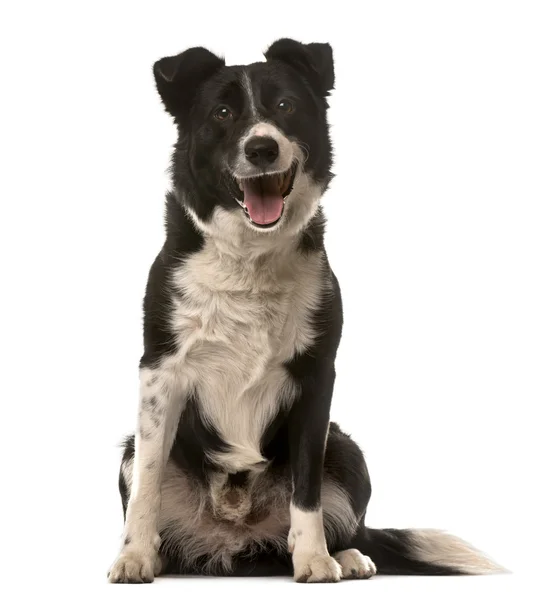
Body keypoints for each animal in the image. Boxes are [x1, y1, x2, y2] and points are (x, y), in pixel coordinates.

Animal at [106, 37, 502, 580]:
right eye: (223, 113)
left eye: (284, 106)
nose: (261, 148)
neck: (250, 257)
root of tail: (234, 536)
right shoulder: (160, 373)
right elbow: (147, 482)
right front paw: (134, 556)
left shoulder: (317, 377)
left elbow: (307, 485)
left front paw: (315, 558)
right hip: (130, 450)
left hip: (348, 450)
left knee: (341, 523)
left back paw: (347, 555)